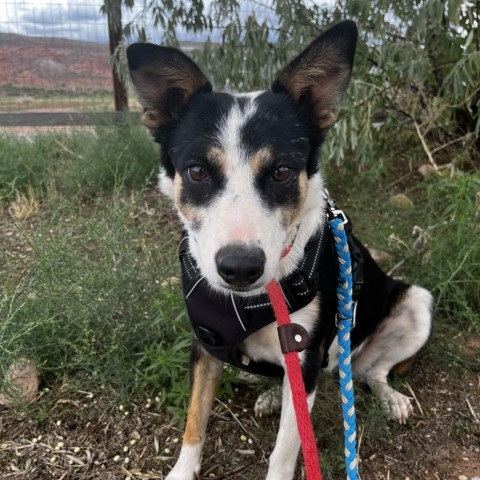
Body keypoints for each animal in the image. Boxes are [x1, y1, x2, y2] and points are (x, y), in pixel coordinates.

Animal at [125, 19, 434, 480]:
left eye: (282, 172)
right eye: (196, 172)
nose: (240, 268)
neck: (252, 300)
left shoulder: (304, 357)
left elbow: (287, 448)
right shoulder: (205, 347)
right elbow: (194, 420)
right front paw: (183, 470)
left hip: (415, 304)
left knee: (372, 372)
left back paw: (390, 398)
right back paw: (271, 394)